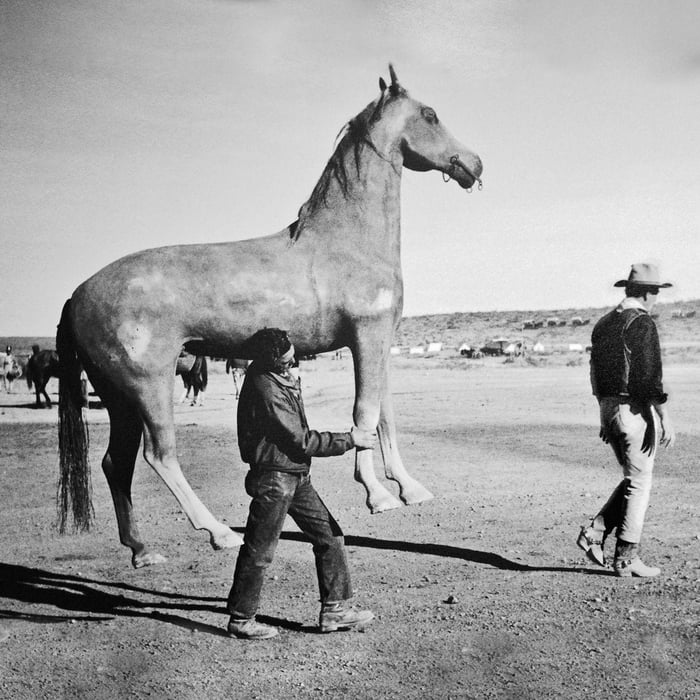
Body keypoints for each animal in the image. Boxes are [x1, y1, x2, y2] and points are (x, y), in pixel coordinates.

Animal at [54, 67, 484, 568]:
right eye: (430, 114)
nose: (474, 164)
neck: (348, 242)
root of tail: (77, 294)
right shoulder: (365, 338)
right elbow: (364, 413)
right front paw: (378, 495)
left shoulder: (376, 346)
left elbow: (384, 415)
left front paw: (410, 489)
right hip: (148, 387)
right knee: (159, 456)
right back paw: (219, 533)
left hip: (118, 397)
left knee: (115, 464)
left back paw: (143, 552)